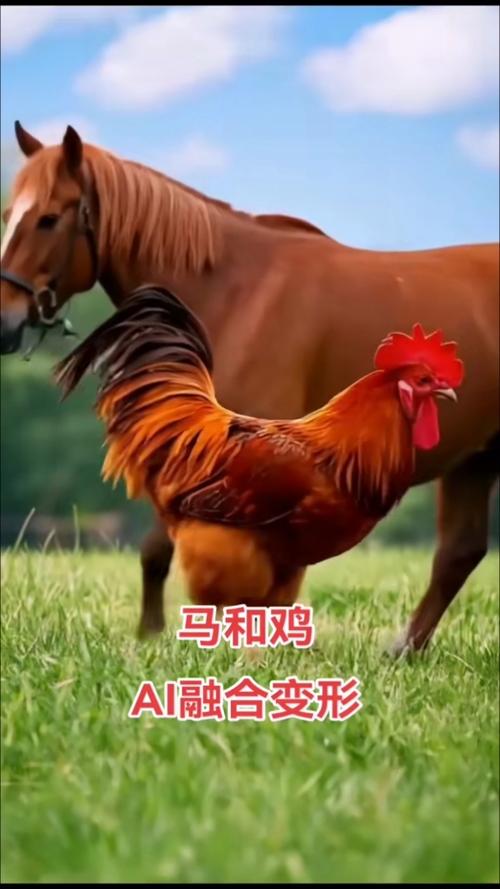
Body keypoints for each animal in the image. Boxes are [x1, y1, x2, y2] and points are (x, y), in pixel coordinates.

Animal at [1, 122, 498, 652]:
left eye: (49, 219)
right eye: (9, 215)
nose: (3, 321)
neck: (234, 294)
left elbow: (179, 555)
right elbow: (164, 555)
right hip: (475, 460)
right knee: (459, 553)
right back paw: (404, 651)